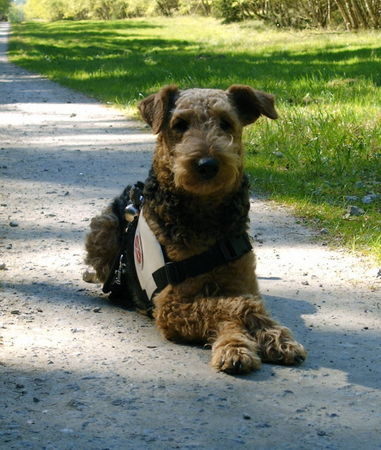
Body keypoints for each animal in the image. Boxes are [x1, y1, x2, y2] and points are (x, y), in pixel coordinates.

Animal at [83, 86, 306, 374]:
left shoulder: (241, 282)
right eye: (180, 124)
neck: (206, 219)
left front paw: (276, 338)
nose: (207, 164)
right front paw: (235, 346)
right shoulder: (172, 304)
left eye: (226, 122)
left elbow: (246, 304)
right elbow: (233, 308)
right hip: (104, 228)